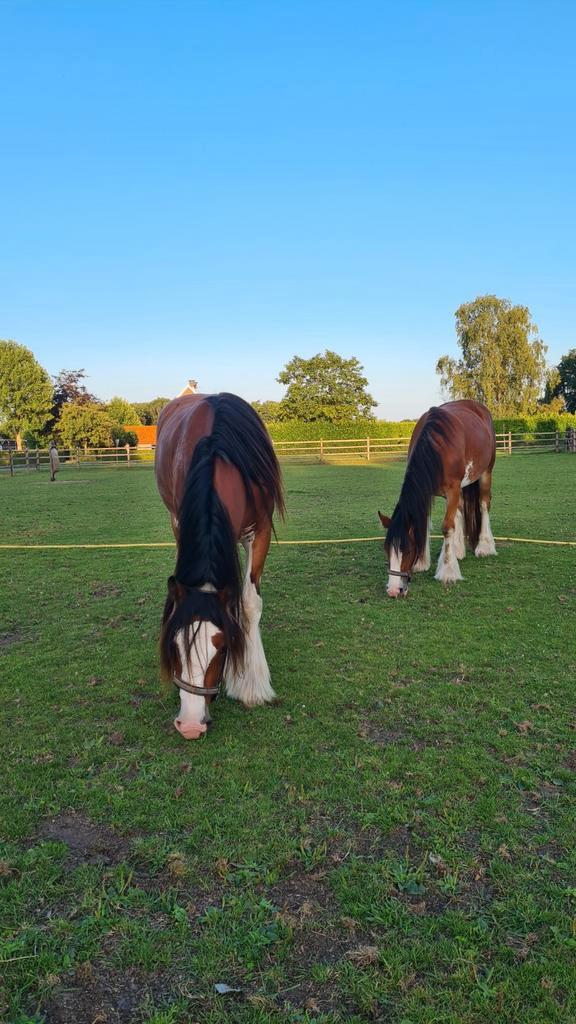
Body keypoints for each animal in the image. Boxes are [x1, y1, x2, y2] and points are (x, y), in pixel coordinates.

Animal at [155, 392, 284, 739]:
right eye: (174, 646)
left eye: (222, 648)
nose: (189, 725)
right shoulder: (180, 521)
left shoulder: (260, 531)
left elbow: (250, 603)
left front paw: (250, 683)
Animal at [378, 400, 497, 597]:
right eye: (387, 550)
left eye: (408, 551)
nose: (394, 590)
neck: (437, 446)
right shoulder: (428, 491)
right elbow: (425, 524)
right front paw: (422, 563)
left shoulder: (453, 489)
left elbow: (447, 527)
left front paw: (448, 572)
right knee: (460, 509)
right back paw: (458, 550)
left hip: (486, 472)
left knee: (484, 504)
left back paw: (485, 546)